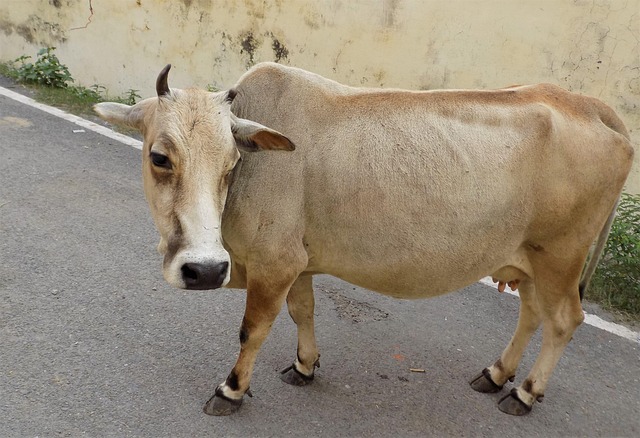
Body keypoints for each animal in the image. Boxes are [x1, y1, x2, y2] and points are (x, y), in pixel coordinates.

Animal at [94, 62, 634, 417]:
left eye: (233, 164)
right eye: (160, 157)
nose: (205, 269)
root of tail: (590, 105)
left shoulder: (274, 263)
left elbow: (254, 330)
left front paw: (231, 390)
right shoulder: (298, 263)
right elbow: (303, 312)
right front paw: (305, 365)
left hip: (559, 258)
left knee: (562, 320)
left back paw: (523, 392)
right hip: (527, 260)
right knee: (532, 313)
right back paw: (496, 373)